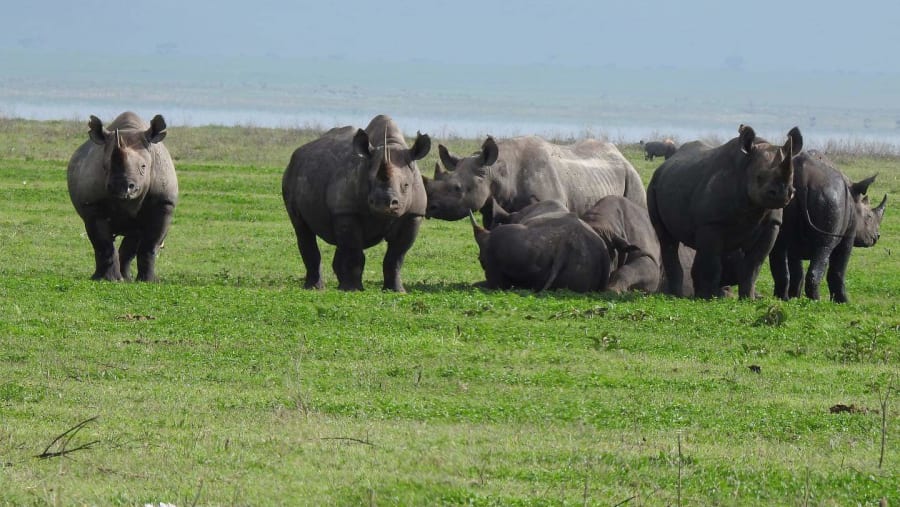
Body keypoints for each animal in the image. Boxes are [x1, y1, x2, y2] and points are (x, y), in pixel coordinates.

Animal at [67, 112, 178, 281]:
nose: (122, 187)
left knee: (135, 236)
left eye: (143, 167)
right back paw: (107, 277)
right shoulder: (92, 204)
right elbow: (103, 243)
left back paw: (127, 278)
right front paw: (109, 279)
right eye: (105, 166)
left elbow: (150, 244)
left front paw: (149, 281)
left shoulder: (164, 202)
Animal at [282, 115, 430, 292]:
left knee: (339, 241)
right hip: (292, 173)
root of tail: (298, 152)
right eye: (369, 182)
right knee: (303, 229)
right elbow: (354, 252)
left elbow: (396, 256)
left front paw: (397, 291)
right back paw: (316, 288)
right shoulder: (347, 211)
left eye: (406, 185)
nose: (384, 203)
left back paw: (339, 285)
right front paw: (353, 290)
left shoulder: (413, 214)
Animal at [648, 124, 801, 299]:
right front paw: (709, 298)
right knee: (667, 239)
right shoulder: (711, 223)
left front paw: (748, 299)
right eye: (759, 176)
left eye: (793, 176)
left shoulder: (772, 224)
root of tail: (663, 166)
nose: (782, 193)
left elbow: (753, 265)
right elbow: (713, 263)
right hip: (654, 184)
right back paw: (677, 295)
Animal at [769, 150, 887, 302]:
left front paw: (795, 297)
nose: (877, 237)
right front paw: (843, 302)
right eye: (869, 217)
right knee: (824, 247)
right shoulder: (849, 233)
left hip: (780, 196)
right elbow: (839, 268)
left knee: (778, 248)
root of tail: (802, 177)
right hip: (829, 196)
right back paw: (816, 301)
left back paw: (782, 299)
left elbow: (797, 269)